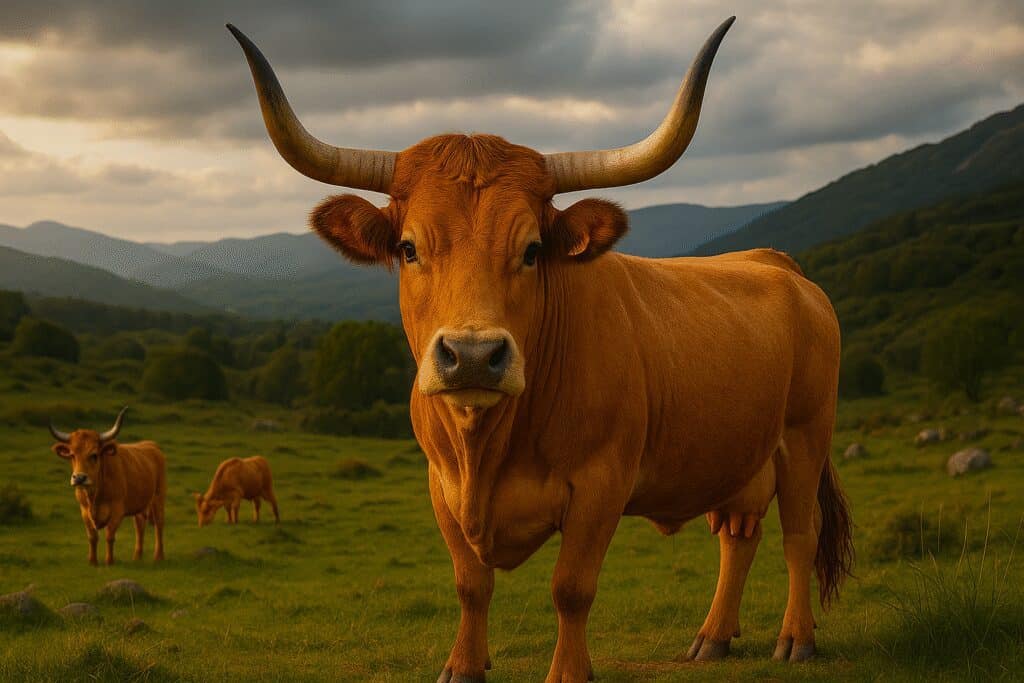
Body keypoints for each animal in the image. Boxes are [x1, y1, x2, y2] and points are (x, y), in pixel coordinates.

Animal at [49, 408, 166, 566]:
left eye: (94, 455)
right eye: (72, 455)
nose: (79, 478)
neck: (94, 495)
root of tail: (151, 445)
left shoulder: (117, 510)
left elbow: (110, 535)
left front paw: (109, 561)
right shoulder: (84, 511)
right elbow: (92, 537)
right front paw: (92, 561)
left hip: (158, 497)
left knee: (159, 525)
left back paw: (159, 556)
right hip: (140, 504)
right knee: (139, 526)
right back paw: (137, 556)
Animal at [230, 16, 852, 682]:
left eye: (531, 249)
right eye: (408, 248)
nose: (473, 355)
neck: (486, 446)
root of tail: (778, 264)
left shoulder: (601, 486)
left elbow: (571, 588)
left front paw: (569, 672)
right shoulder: (441, 488)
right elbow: (470, 586)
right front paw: (464, 666)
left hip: (805, 437)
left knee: (800, 534)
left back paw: (795, 638)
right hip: (740, 456)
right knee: (738, 533)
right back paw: (712, 638)